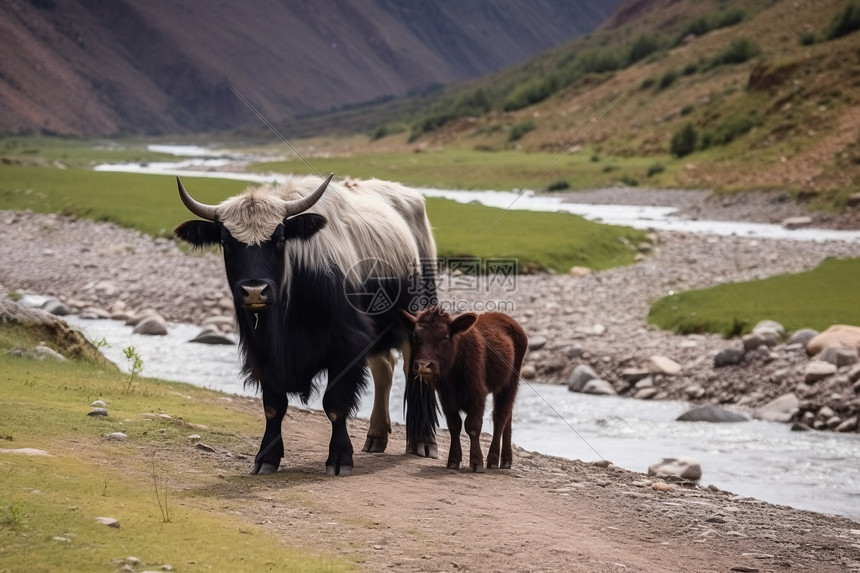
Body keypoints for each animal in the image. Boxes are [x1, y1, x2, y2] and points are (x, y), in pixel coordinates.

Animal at [400, 308, 528, 470]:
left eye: (445, 337)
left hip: (509, 383)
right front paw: (453, 461)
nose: (423, 365)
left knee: (500, 418)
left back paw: (493, 460)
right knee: (507, 416)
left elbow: (473, 426)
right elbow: (454, 425)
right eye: (415, 336)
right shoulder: (445, 398)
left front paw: (476, 462)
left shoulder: (477, 394)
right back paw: (506, 460)